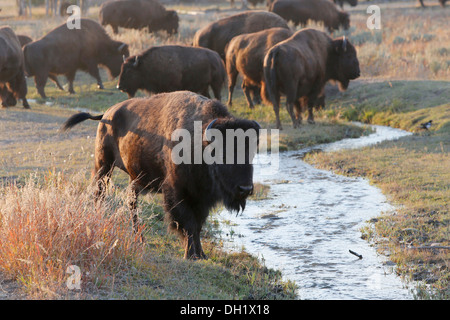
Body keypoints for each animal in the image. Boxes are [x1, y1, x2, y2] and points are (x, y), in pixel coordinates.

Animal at [61, 90, 262, 260]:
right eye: (223, 153)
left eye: (251, 152)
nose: (245, 189)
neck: (199, 140)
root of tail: (106, 115)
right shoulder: (177, 193)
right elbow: (188, 223)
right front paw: (191, 255)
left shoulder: (201, 199)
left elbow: (198, 225)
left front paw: (201, 254)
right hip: (104, 165)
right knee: (100, 194)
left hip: (135, 178)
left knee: (131, 202)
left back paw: (139, 239)